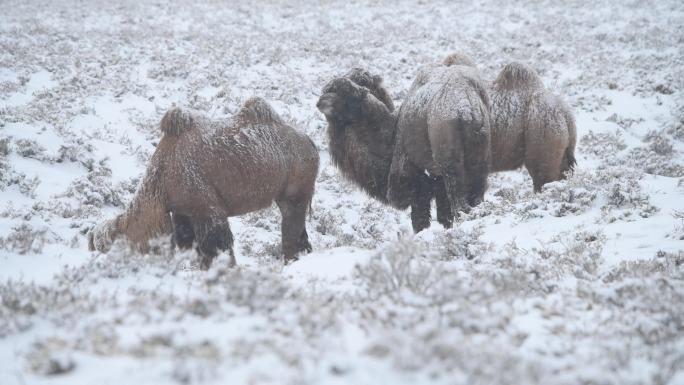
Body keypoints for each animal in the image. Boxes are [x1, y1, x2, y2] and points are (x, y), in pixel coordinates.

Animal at [87, 97, 318, 268]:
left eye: (113, 247)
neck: (162, 179)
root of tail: (310, 142)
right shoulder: (183, 211)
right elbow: (193, 244)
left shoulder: (205, 207)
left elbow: (216, 244)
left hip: (294, 190)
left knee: (291, 223)